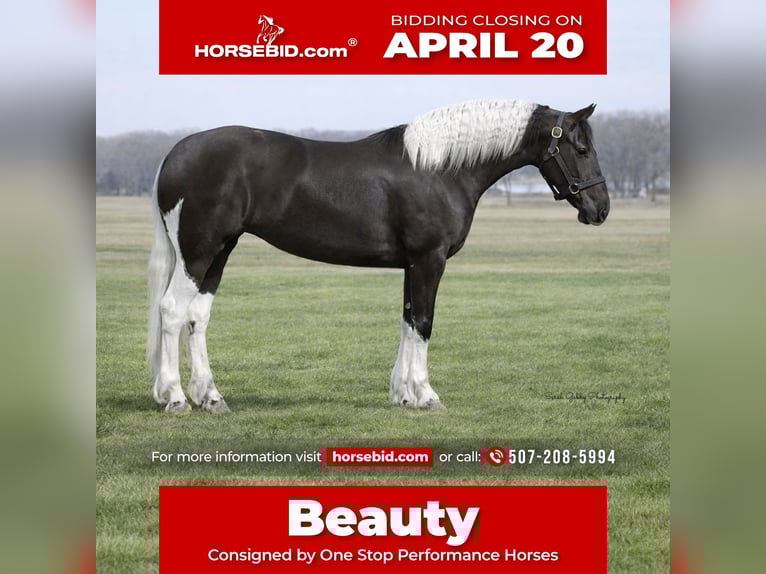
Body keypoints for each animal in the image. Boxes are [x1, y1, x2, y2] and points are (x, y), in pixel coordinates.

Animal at [147, 99, 609, 414]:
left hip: (219, 251)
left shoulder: (412, 264)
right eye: (581, 149)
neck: (440, 169)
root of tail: (175, 154)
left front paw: (403, 395)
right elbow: (423, 322)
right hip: (199, 251)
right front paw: (427, 395)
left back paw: (211, 397)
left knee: (197, 317)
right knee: (171, 311)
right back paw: (175, 397)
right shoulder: (429, 259)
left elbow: (407, 322)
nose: (600, 210)